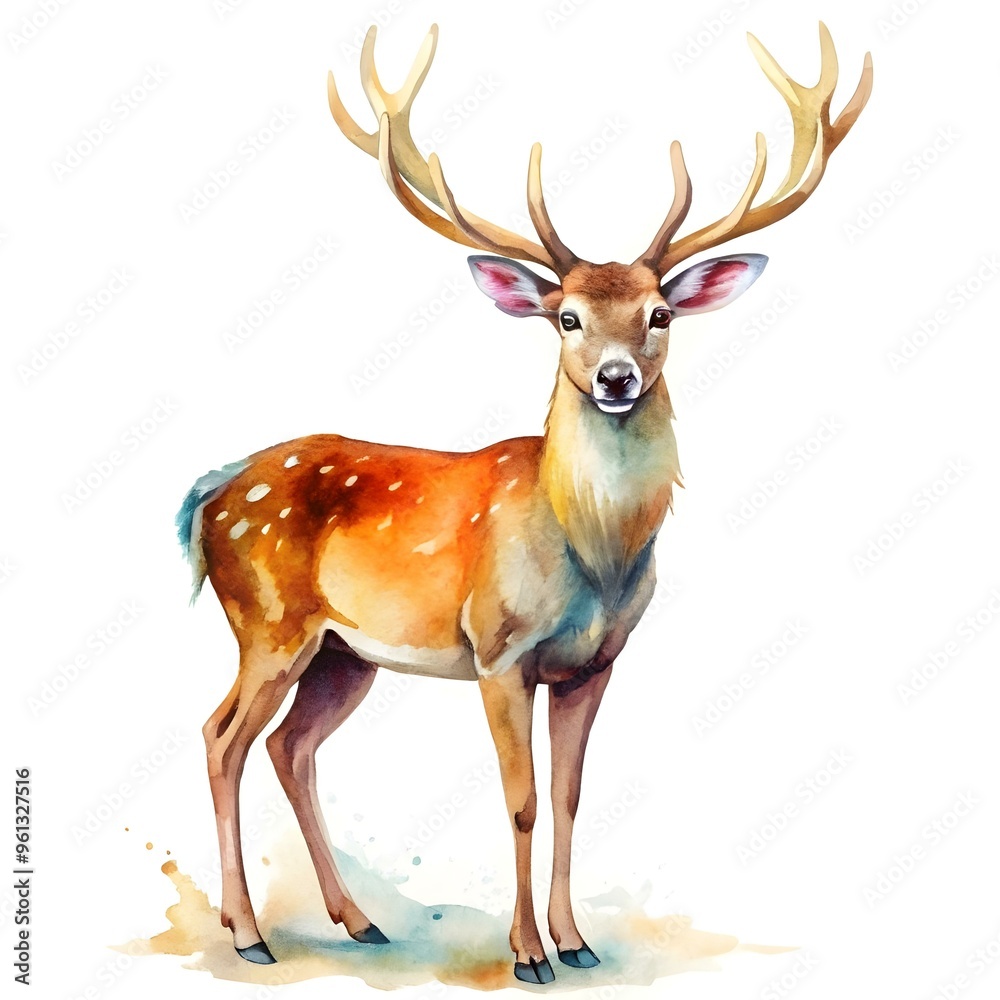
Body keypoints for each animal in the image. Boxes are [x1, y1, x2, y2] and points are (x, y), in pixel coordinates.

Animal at [176, 22, 871, 985]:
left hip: (343, 654)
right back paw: (249, 933)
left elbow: (573, 796)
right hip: (267, 621)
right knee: (221, 737)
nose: (615, 379)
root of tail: (212, 488)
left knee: (290, 747)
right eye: (566, 317)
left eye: (660, 315)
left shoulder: (594, 664)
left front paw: (576, 942)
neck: (594, 558)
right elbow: (522, 800)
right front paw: (529, 954)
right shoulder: (499, 651)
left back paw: (359, 921)